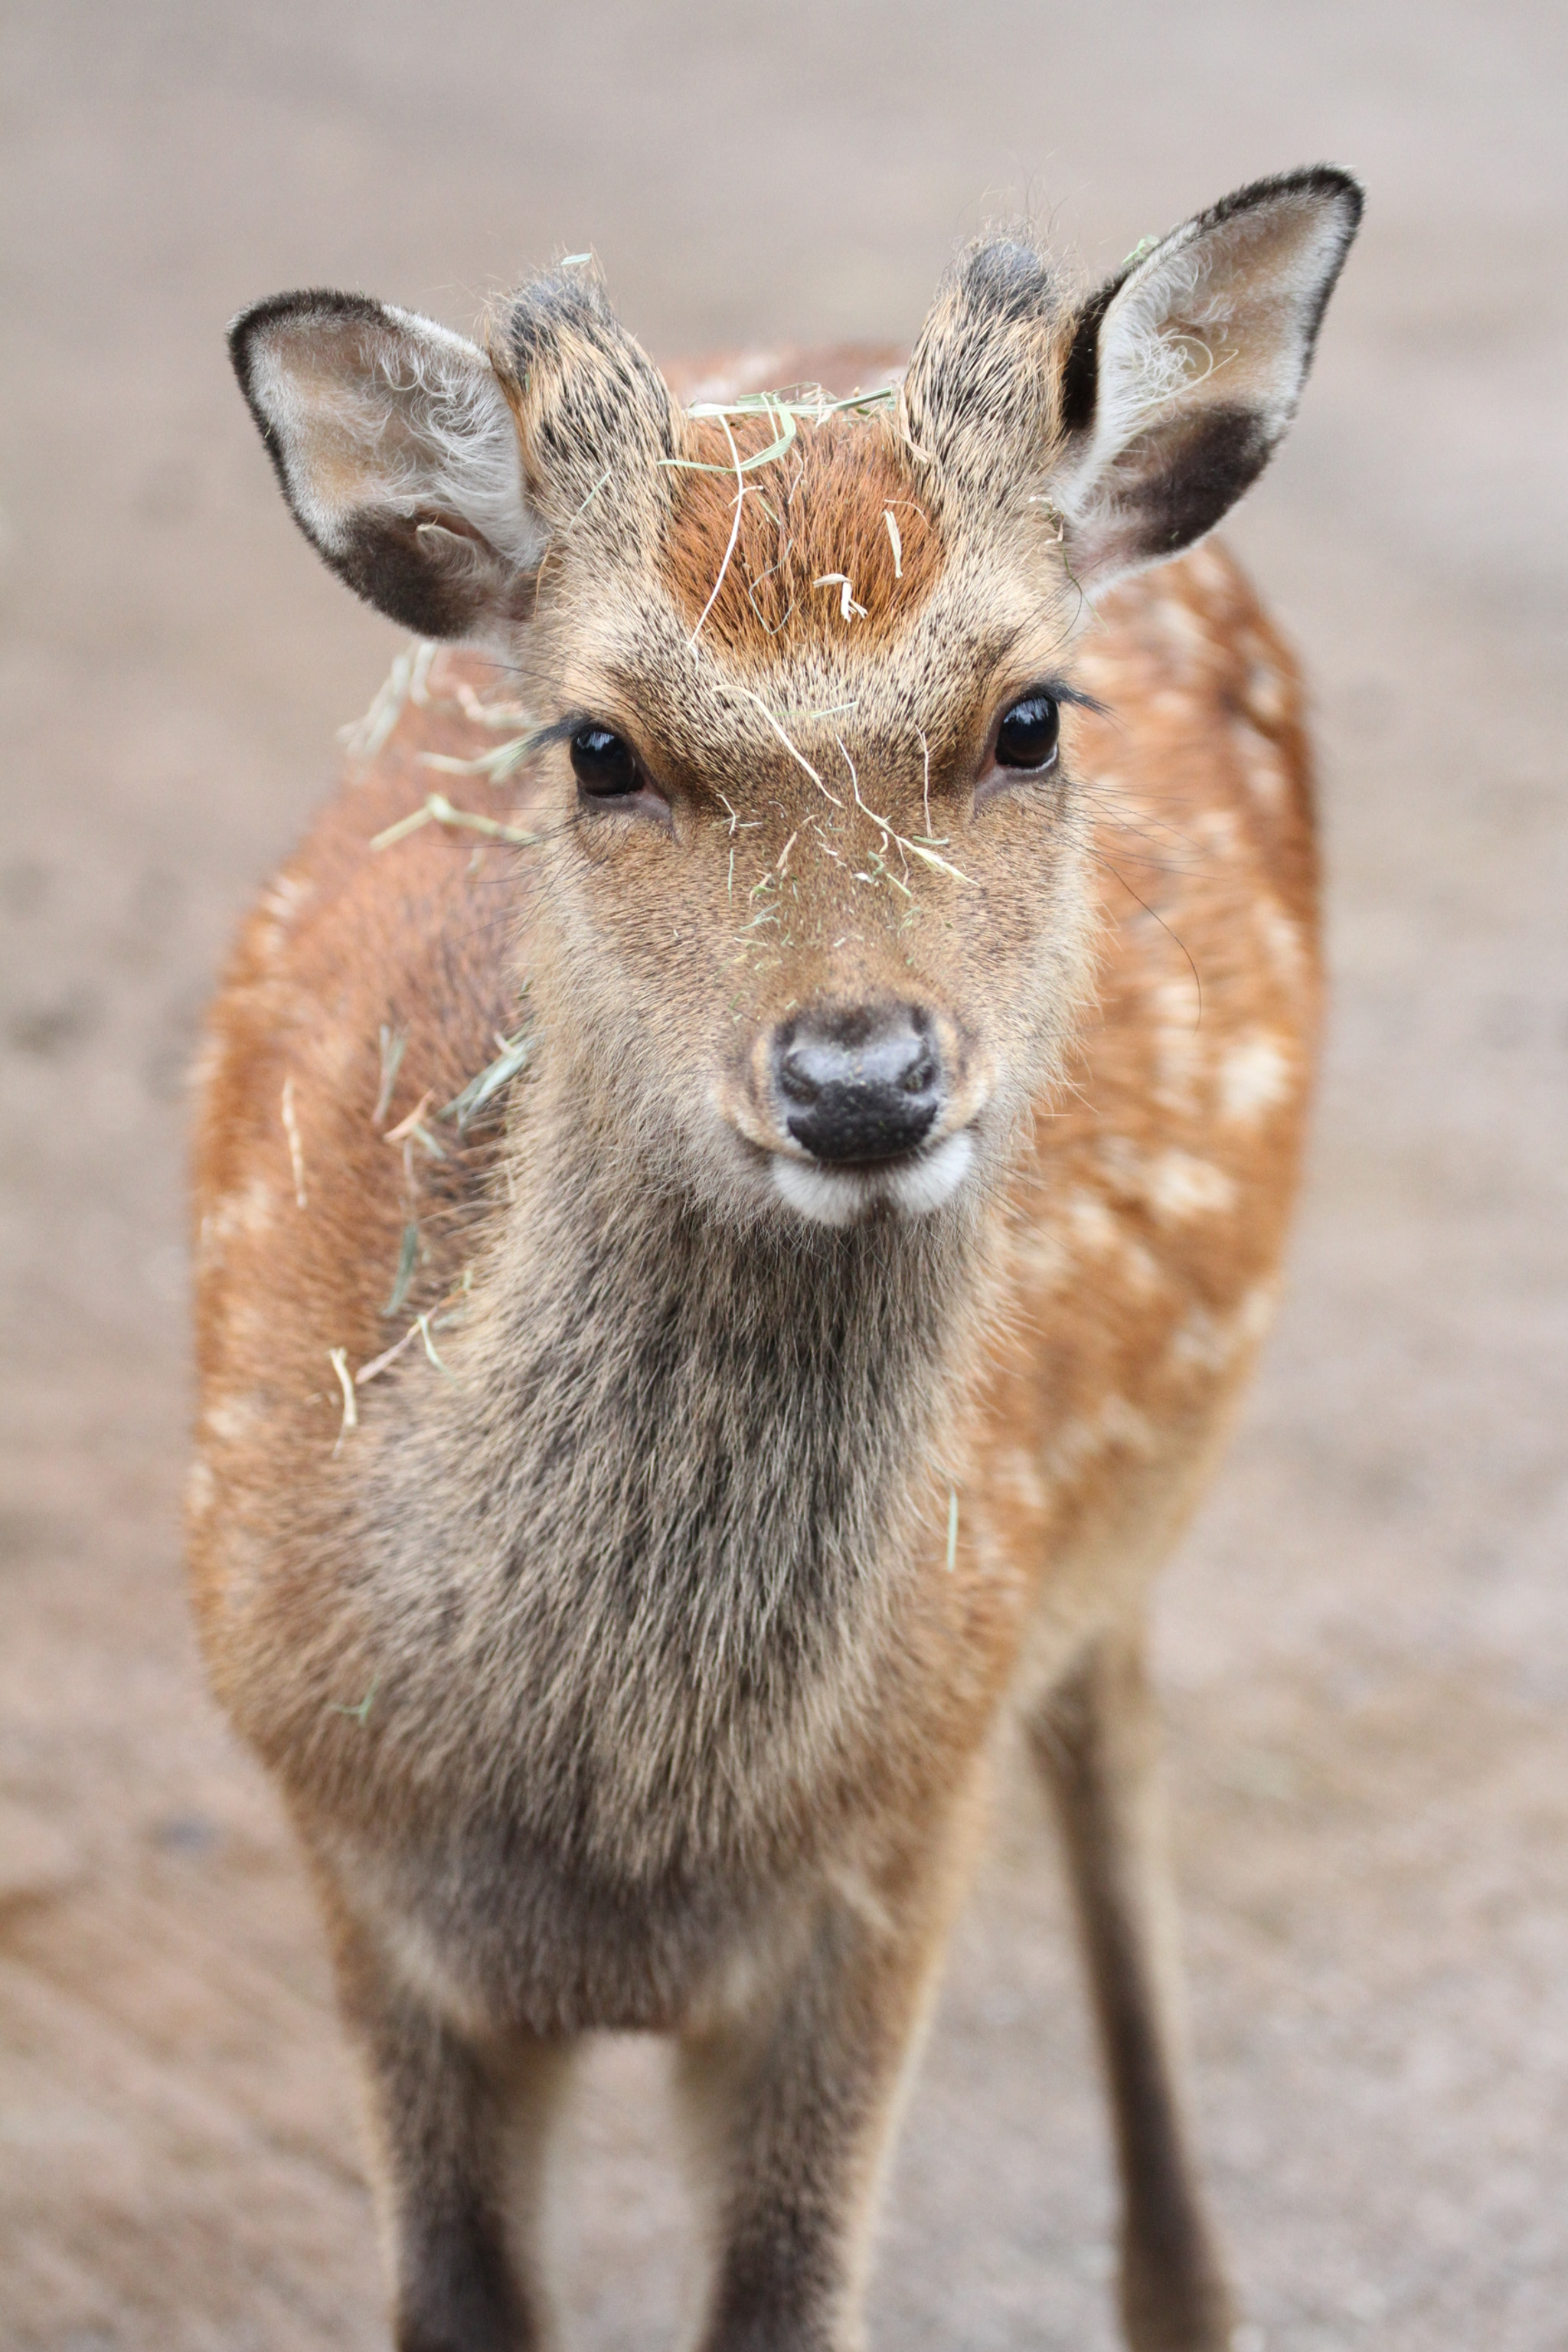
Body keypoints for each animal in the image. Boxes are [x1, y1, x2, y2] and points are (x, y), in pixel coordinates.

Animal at [190, 166, 1362, 2352]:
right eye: (596, 747)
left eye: (1026, 716)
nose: (860, 1078)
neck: (621, 1822)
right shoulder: (344, 1852)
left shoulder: (887, 1861)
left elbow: (790, 2296)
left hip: (1118, 1531)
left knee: (1116, 1749)